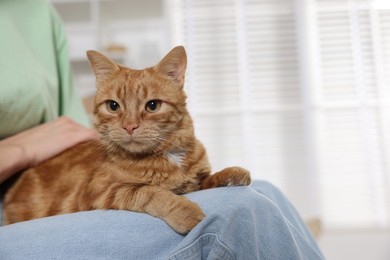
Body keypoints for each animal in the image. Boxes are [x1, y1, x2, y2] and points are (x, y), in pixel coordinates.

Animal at [3, 45, 251, 235]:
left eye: (153, 105)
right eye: (113, 106)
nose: (129, 126)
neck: (168, 155)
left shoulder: (194, 183)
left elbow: (208, 178)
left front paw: (230, 173)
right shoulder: (102, 193)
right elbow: (151, 193)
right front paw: (185, 212)